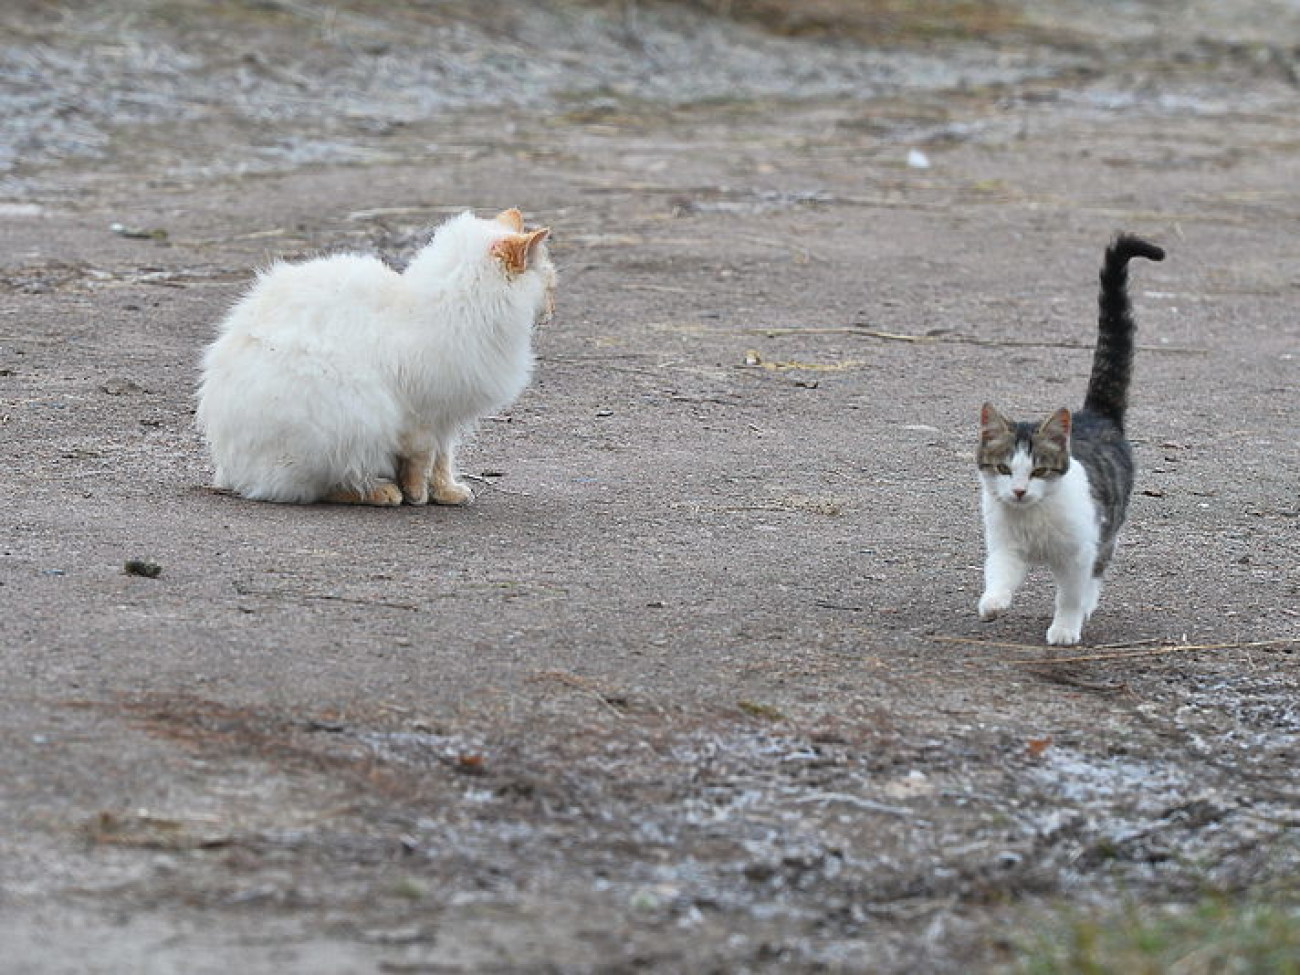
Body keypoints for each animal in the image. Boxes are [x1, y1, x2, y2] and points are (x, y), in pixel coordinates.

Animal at [196, 210, 553, 506]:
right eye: (549, 287)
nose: (552, 311)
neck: (458, 304)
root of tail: (231, 472)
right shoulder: (420, 418)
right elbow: (422, 460)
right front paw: (417, 495)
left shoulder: (445, 417)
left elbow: (443, 461)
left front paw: (448, 493)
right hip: (345, 423)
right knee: (321, 487)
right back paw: (382, 492)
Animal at [977, 235, 1170, 650]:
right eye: (1003, 468)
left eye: (1038, 470)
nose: (1018, 491)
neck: (1033, 517)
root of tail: (1094, 414)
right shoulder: (1005, 544)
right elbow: (998, 572)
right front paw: (993, 602)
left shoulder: (1080, 551)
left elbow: (1070, 592)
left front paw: (1065, 627)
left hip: (1109, 524)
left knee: (1097, 570)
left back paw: (1085, 607)